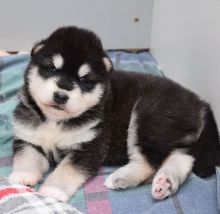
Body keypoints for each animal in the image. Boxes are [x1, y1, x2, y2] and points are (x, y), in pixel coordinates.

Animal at [9, 25, 220, 201]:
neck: (56, 120)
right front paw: (22, 176)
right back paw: (165, 184)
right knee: (182, 158)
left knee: (148, 163)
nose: (61, 95)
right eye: (52, 68)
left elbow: (67, 170)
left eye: (84, 79)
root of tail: (200, 103)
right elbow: (26, 158)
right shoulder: (28, 139)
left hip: (148, 117)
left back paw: (122, 177)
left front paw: (53, 190)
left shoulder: (89, 147)